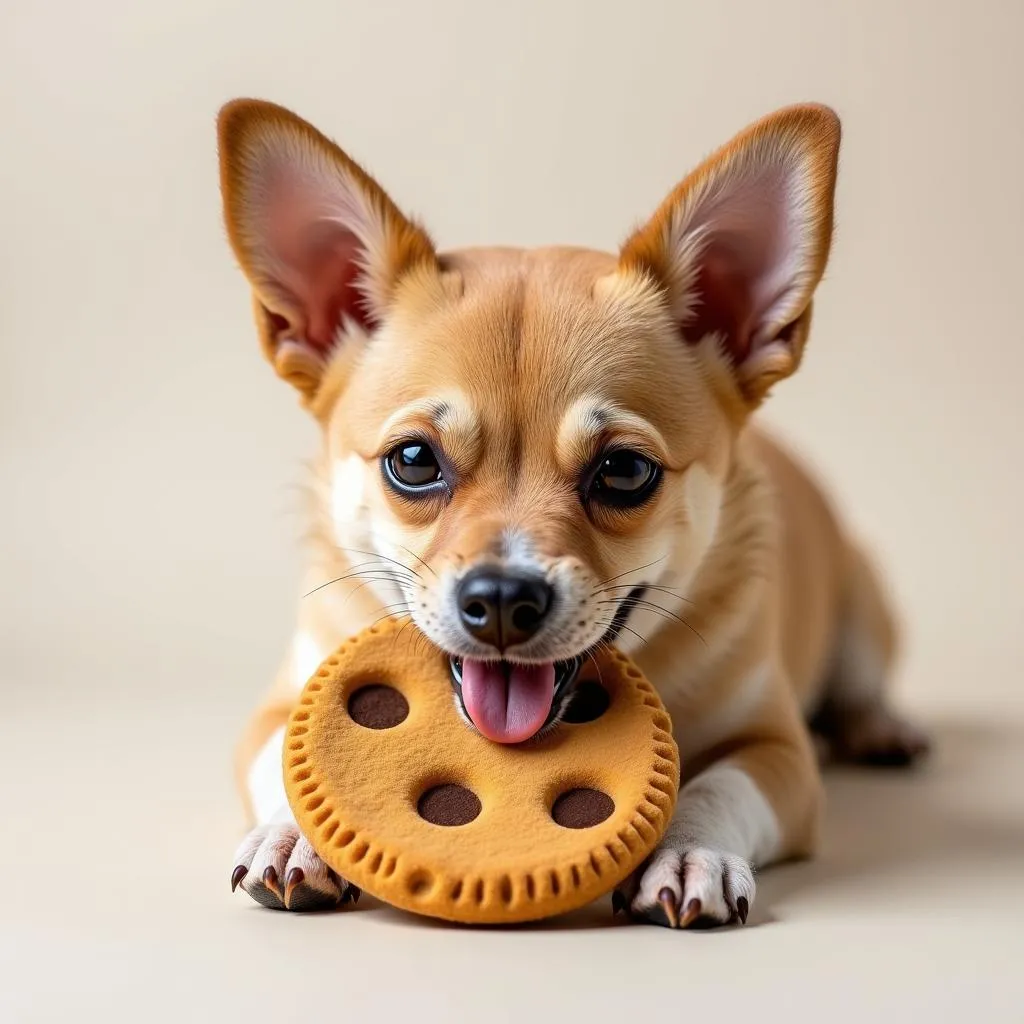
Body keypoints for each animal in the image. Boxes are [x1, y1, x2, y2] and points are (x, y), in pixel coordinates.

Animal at [220, 99, 933, 925]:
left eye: (624, 471)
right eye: (414, 461)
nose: (501, 598)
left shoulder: (777, 753)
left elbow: (717, 785)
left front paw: (689, 850)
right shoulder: (276, 712)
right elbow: (285, 760)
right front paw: (294, 834)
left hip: (865, 617)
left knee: (862, 687)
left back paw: (881, 728)